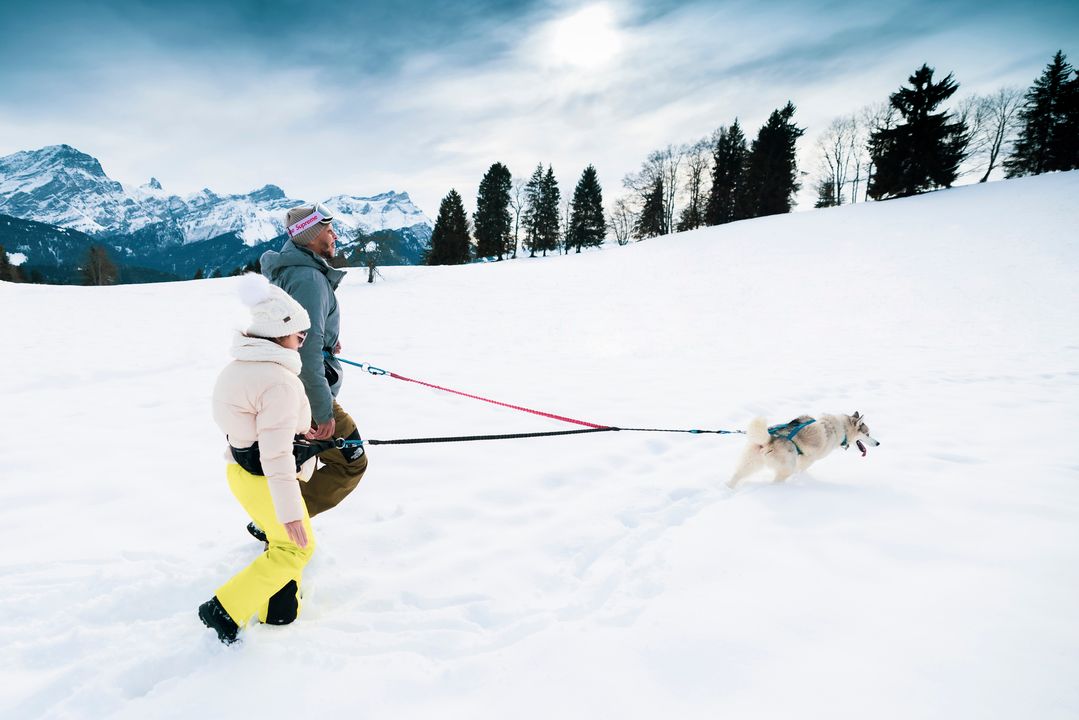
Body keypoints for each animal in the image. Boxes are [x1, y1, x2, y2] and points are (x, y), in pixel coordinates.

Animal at [729, 410, 880, 490]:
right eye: (868, 434)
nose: (878, 443)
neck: (841, 428)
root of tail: (769, 439)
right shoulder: (808, 459)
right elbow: (801, 470)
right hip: (787, 467)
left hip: (751, 463)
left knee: (737, 475)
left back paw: (729, 487)